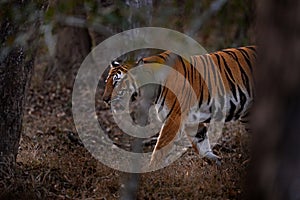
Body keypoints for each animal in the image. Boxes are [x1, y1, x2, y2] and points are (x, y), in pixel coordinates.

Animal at [102, 46, 255, 166]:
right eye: (107, 82)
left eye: (117, 83)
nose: (104, 99)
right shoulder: (192, 120)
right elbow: (200, 141)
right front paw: (215, 161)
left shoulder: (174, 118)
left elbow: (160, 148)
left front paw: (150, 172)